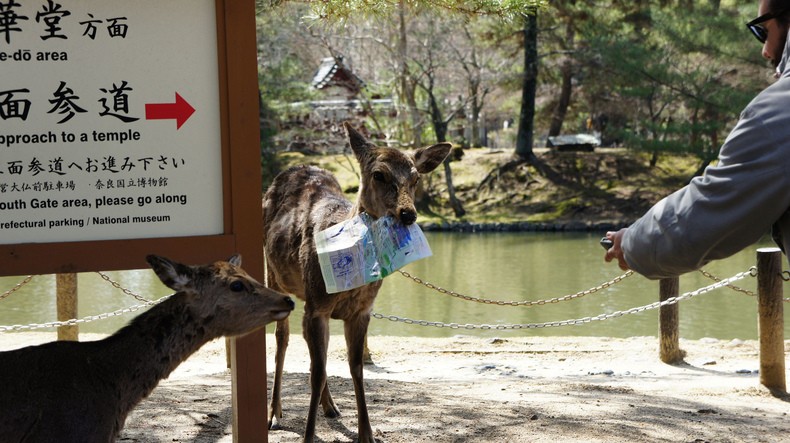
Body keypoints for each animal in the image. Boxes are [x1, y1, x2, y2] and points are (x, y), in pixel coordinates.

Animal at [264, 122, 452, 443]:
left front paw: (368, 434)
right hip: (273, 276)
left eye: (415, 178)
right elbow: (317, 371)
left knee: (314, 352)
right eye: (379, 174)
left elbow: (355, 368)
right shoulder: (317, 305)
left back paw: (331, 407)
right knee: (282, 340)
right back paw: (275, 414)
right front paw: (309, 435)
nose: (408, 214)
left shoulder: (361, 311)